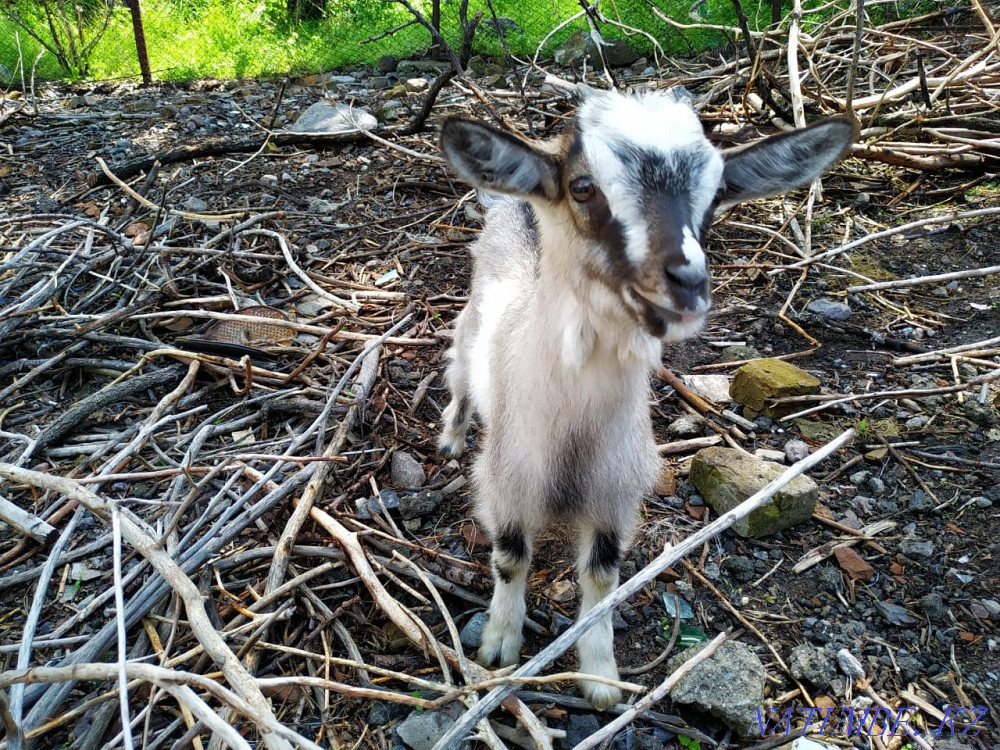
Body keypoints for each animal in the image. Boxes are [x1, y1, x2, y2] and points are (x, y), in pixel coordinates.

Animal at [436, 87, 854, 710]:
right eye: (583, 187)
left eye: (716, 198)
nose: (687, 283)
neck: (572, 434)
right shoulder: (507, 480)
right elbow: (510, 558)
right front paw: (498, 647)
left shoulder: (616, 493)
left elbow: (602, 577)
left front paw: (600, 677)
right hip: (469, 334)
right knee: (460, 380)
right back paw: (451, 436)